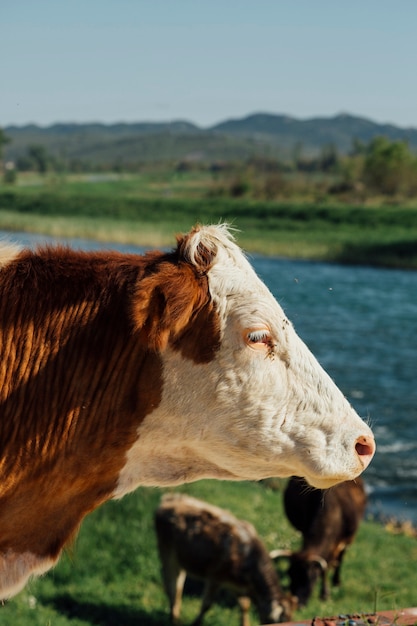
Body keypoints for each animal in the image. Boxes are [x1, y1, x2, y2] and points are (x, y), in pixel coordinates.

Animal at [154, 492, 294, 624]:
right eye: (277, 621)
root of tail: (171, 498)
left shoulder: (237, 585)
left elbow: (244, 606)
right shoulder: (215, 577)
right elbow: (206, 604)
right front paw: (196, 623)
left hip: (181, 560)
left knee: (177, 587)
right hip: (167, 554)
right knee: (171, 586)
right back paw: (174, 618)